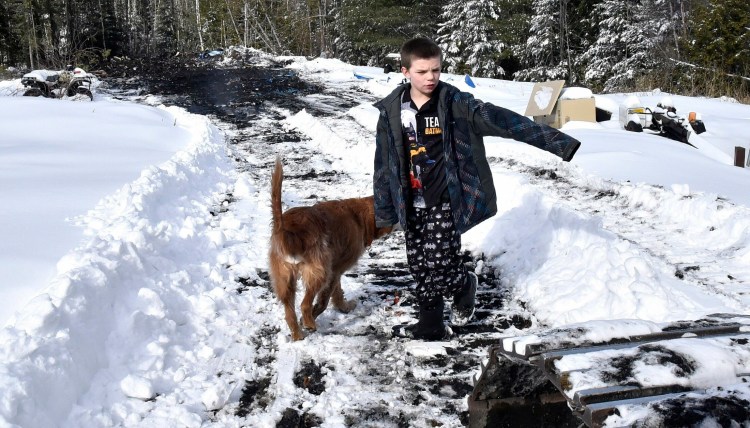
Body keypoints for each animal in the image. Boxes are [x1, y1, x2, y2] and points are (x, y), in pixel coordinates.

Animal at [268, 157, 394, 342]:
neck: (360, 217)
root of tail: (288, 230)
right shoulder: (335, 270)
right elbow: (325, 299)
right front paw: (319, 313)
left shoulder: (336, 268)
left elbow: (337, 293)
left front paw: (344, 307)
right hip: (319, 272)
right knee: (304, 304)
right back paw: (309, 323)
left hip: (285, 278)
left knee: (289, 312)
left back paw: (298, 335)